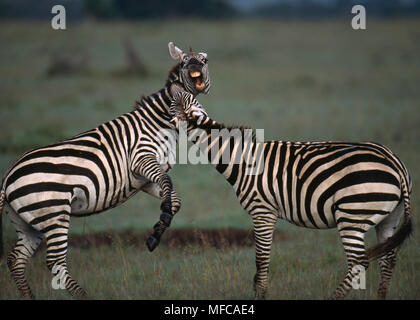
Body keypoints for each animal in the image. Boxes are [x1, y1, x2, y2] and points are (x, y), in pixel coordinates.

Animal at [0, 41, 210, 298]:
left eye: (204, 60)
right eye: (184, 63)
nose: (195, 66)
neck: (159, 123)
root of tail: (7, 177)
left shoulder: (144, 179)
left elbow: (174, 197)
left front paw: (157, 231)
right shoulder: (140, 159)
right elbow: (168, 185)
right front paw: (162, 219)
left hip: (29, 222)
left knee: (16, 260)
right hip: (54, 214)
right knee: (55, 262)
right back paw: (83, 296)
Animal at [170, 92, 414, 300]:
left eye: (169, 108)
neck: (242, 159)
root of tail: (396, 164)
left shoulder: (263, 211)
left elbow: (261, 261)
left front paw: (260, 296)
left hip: (352, 215)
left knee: (358, 262)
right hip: (388, 217)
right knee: (388, 258)